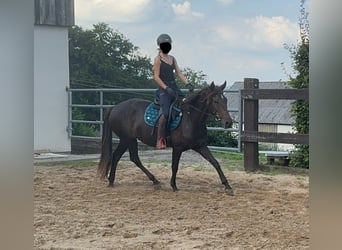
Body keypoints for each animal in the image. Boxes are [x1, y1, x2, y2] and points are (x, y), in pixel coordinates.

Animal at [97, 81, 234, 195]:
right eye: (215, 101)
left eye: (226, 100)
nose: (228, 123)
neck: (190, 118)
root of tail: (114, 108)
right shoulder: (177, 148)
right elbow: (175, 166)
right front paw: (173, 186)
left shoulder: (200, 146)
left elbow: (215, 163)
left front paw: (227, 186)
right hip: (128, 139)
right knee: (131, 158)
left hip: (127, 140)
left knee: (121, 157)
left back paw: (114, 181)